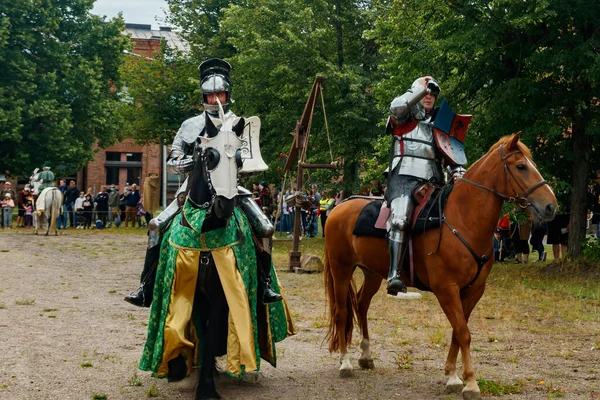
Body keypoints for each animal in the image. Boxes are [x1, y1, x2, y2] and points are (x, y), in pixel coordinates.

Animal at [324, 133, 556, 398]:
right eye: (521, 166)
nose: (551, 206)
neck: (462, 219)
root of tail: (339, 208)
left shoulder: (473, 291)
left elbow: (458, 330)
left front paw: (452, 375)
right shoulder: (447, 289)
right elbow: (463, 332)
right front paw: (470, 382)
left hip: (372, 273)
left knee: (361, 305)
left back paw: (366, 356)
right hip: (341, 269)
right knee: (342, 312)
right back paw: (345, 363)